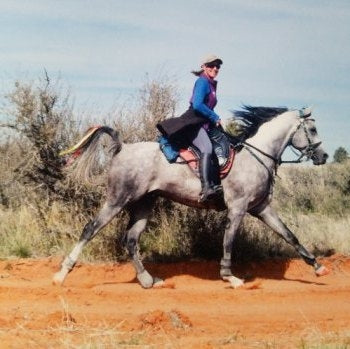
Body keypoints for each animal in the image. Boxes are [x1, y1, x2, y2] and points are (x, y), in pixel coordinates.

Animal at [53, 106, 330, 288]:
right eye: (313, 128)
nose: (324, 156)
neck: (257, 155)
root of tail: (123, 148)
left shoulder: (261, 208)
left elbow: (289, 235)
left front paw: (318, 267)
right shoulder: (238, 208)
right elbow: (228, 241)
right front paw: (230, 276)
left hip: (144, 203)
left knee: (131, 239)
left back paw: (147, 280)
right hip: (117, 200)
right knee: (90, 229)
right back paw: (62, 274)